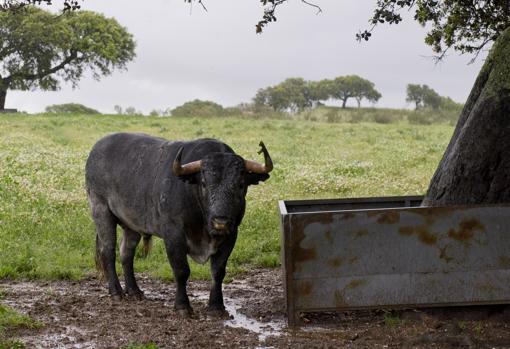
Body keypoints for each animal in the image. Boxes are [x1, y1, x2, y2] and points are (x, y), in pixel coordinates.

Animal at [85, 133, 272, 316]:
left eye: (240, 184)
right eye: (204, 183)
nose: (220, 221)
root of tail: (96, 149)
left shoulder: (231, 235)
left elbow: (218, 272)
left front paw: (216, 307)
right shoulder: (173, 235)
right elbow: (181, 271)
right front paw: (182, 306)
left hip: (131, 225)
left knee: (126, 253)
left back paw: (134, 291)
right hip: (101, 211)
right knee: (108, 251)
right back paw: (116, 292)